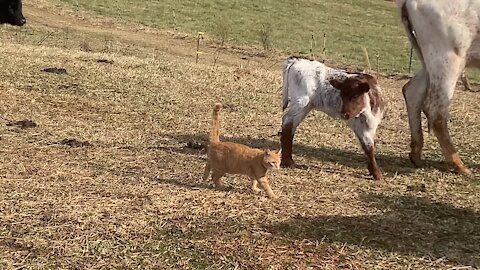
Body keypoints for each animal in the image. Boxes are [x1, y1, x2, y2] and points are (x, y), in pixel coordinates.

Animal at [398, 0, 480, 175]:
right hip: (448, 59)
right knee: (435, 111)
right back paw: (459, 165)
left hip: (430, 61)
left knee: (412, 92)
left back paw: (416, 154)